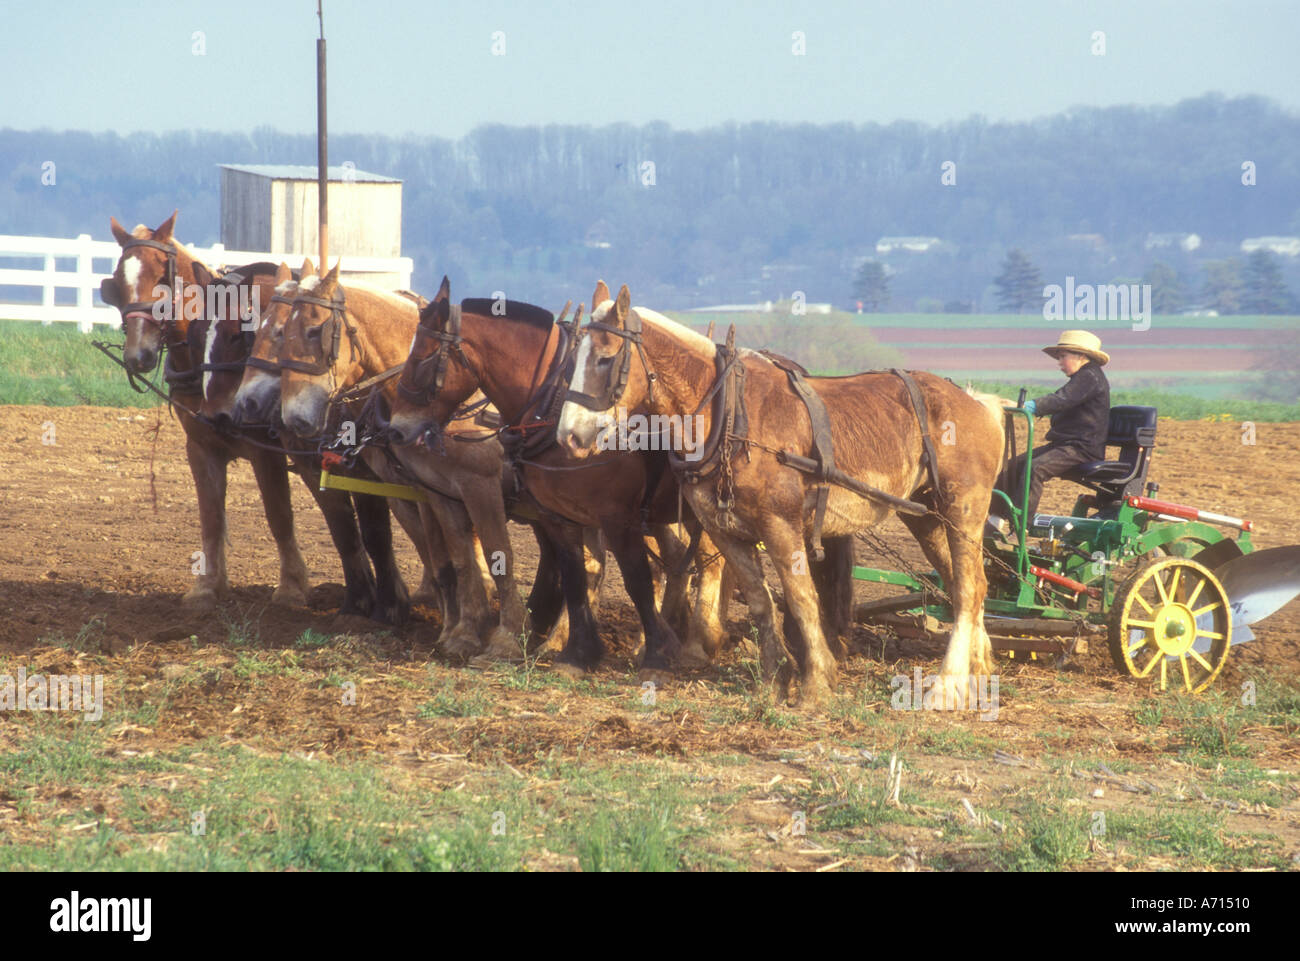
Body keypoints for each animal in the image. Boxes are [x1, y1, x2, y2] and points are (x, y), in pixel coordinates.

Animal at [102, 214, 310, 613]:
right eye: (118, 280)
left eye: (162, 276)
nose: (139, 355)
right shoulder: (199, 446)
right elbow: (211, 516)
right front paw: (207, 586)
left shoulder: (265, 452)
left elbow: (279, 514)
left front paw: (292, 587)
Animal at [384, 278, 733, 686]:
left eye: (424, 356)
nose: (396, 428)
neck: (550, 410)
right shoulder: (555, 516)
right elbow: (573, 576)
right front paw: (578, 653)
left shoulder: (615, 518)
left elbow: (635, 581)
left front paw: (657, 656)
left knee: (708, 564)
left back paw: (695, 642)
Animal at [559, 283, 1003, 707]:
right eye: (571, 358)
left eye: (605, 358)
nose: (569, 436)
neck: (728, 415)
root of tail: (979, 402)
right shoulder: (724, 530)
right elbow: (760, 602)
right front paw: (774, 681)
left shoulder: (780, 525)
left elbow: (801, 597)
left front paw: (817, 682)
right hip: (926, 515)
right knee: (966, 585)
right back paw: (979, 669)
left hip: (963, 510)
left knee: (968, 588)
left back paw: (947, 685)